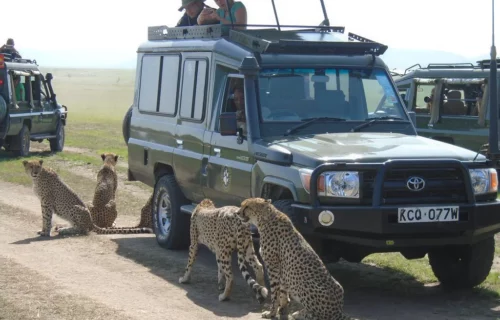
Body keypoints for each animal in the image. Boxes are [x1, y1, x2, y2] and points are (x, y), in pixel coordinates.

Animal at [22, 159, 154, 236]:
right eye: (31, 166)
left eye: (37, 167)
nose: (35, 172)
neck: (38, 177)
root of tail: (91, 221)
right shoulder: (44, 202)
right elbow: (45, 218)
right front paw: (44, 230)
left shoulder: (47, 202)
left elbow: (47, 218)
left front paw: (45, 232)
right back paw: (63, 228)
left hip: (75, 208)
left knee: (83, 230)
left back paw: (64, 230)